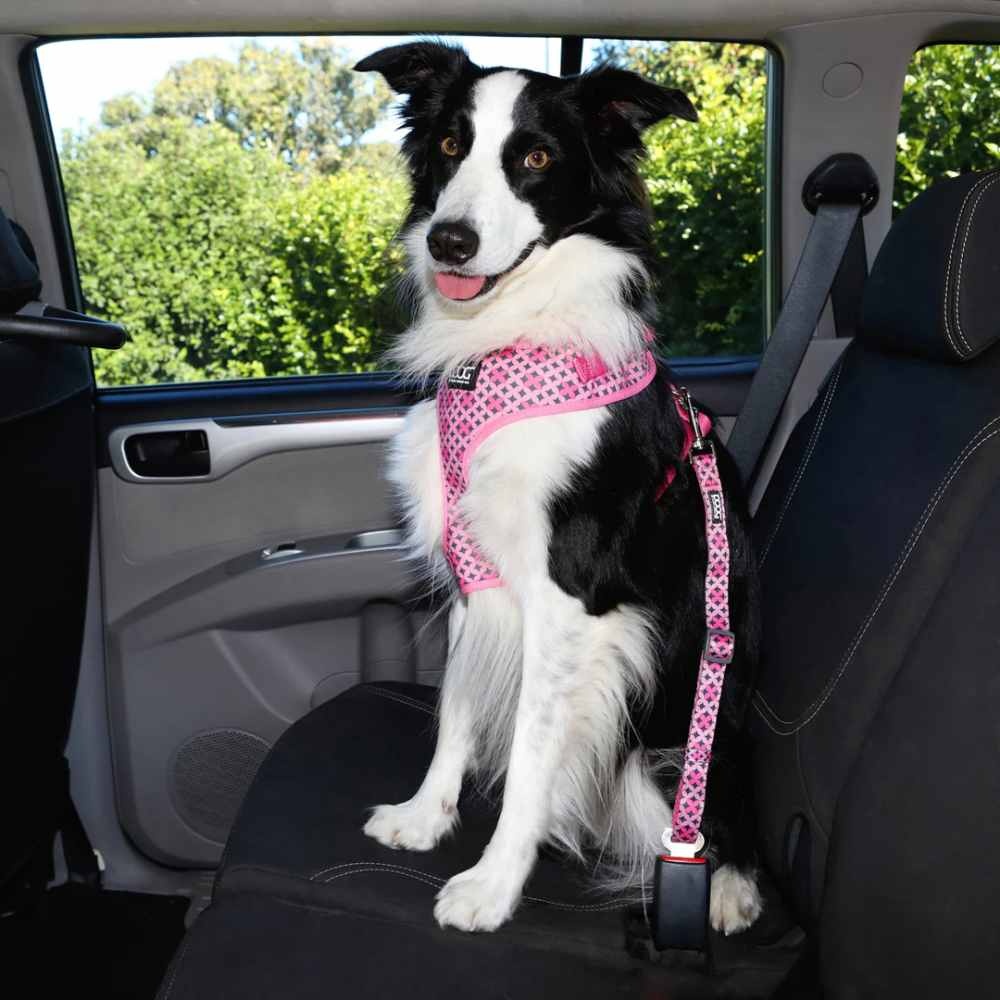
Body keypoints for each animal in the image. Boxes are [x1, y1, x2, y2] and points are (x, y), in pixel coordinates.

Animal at [355, 41, 762, 937]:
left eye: (536, 158)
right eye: (450, 144)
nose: (450, 241)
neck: (503, 345)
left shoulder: (571, 601)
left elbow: (533, 754)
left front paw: (492, 885)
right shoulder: (477, 580)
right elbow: (456, 705)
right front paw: (426, 816)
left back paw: (725, 885)